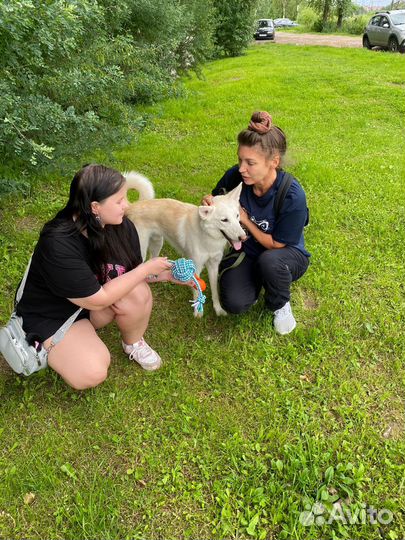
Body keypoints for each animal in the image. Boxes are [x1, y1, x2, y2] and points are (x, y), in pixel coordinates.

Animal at [124, 172, 245, 316]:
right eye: (224, 220)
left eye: (237, 216)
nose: (244, 237)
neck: (208, 237)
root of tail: (133, 205)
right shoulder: (197, 266)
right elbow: (197, 289)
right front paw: (198, 311)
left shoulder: (214, 265)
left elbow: (215, 291)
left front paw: (218, 309)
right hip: (141, 250)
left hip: (157, 243)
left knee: (151, 260)